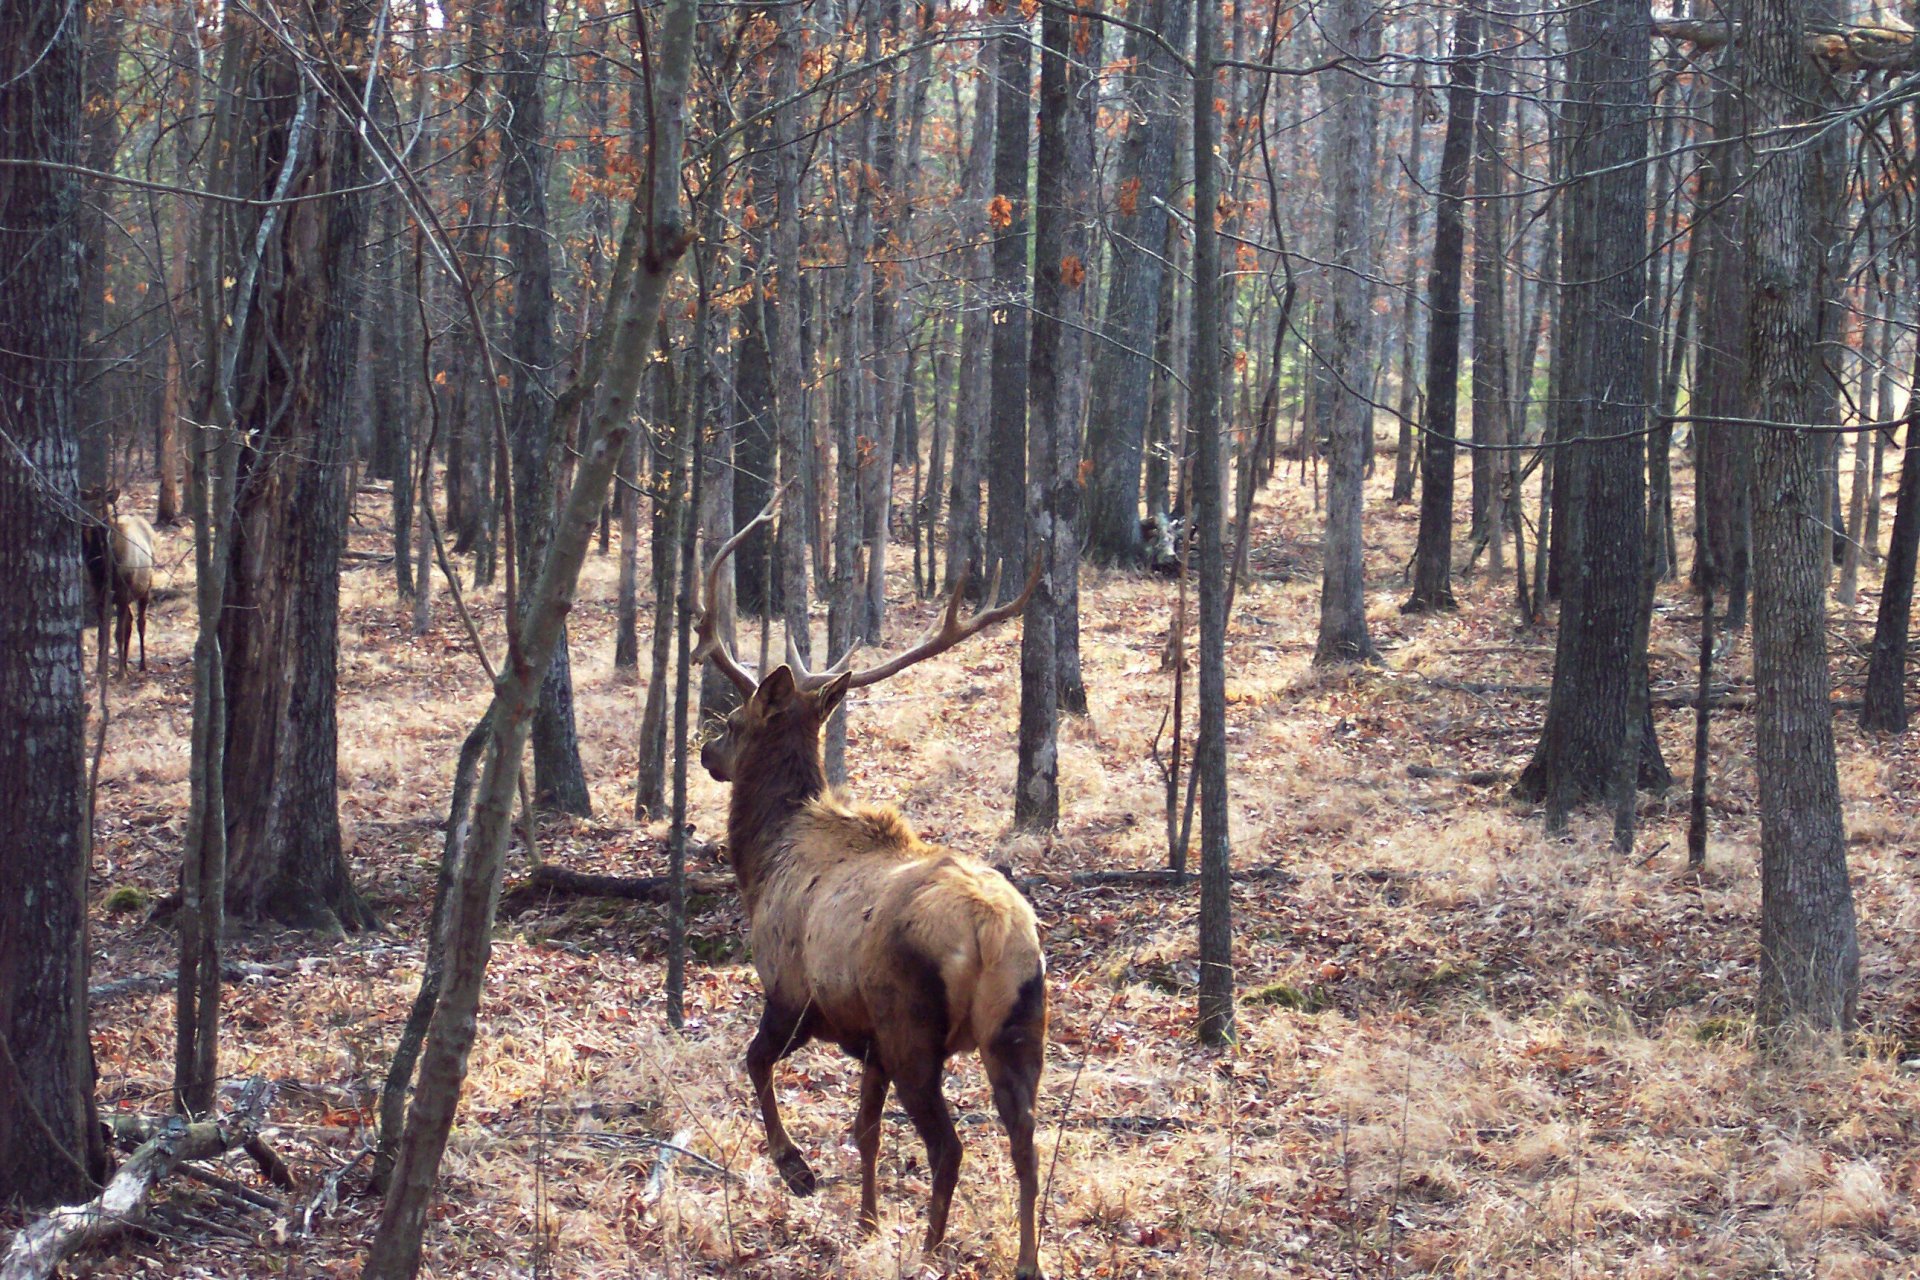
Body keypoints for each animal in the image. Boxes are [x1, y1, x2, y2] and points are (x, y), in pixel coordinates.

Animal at [80, 486, 154, 675]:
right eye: (82, 504)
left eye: (100, 505)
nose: (85, 521)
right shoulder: (98, 594)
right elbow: (102, 634)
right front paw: (100, 670)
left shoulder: (122, 592)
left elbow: (117, 634)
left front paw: (121, 673)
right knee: (129, 622)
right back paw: (127, 664)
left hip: (145, 588)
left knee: (141, 623)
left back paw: (142, 665)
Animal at [693, 499, 1049, 1280]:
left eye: (735, 720)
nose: (706, 752)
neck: (761, 863)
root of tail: (995, 933)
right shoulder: (872, 1043)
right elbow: (865, 1129)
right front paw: (865, 1220)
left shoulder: (794, 995)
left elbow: (754, 1062)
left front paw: (797, 1170)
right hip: (1017, 1029)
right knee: (1027, 1144)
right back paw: (1024, 1260)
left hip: (914, 1026)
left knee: (951, 1146)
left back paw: (931, 1248)